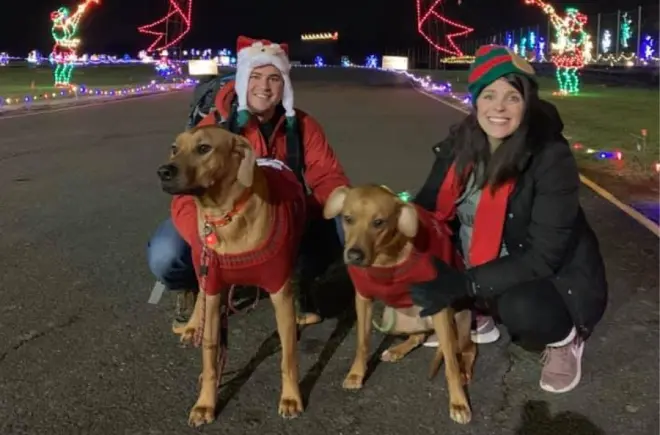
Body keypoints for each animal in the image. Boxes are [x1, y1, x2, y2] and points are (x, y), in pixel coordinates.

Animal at [157, 126, 306, 430]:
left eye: (204, 148)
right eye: (175, 148)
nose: (163, 171)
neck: (225, 217)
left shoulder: (280, 290)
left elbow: (288, 357)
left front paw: (290, 398)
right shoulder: (213, 287)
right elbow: (210, 355)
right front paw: (205, 402)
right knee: (201, 298)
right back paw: (192, 326)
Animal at [324, 185, 474, 426]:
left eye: (379, 222)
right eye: (348, 218)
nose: (354, 255)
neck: (385, 260)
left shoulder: (440, 306)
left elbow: (451, 363)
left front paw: (459, 402)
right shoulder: (363, 299)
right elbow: (362, 342)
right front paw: (356, 374)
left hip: (459, 320)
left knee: (467, 349)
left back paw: (464, 371)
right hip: (392, 318)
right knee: (418, 336)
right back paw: (396, 350)